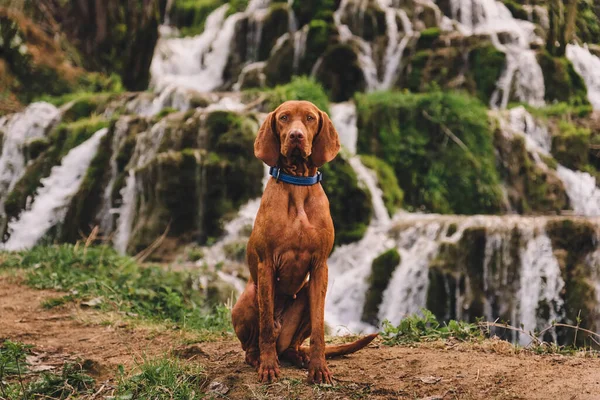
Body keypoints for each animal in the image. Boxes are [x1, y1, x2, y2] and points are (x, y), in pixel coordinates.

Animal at [230, 101, 376, 384]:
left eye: (309, 118)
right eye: (284, 118)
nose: (295, 136)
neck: (297, 184)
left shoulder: (320, 267)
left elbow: (319, 329)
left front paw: (319, 368)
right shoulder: (266, 264)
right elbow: (265, 326)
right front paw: (268, 368)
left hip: (304, 298)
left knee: (290, 345)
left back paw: (299, 356)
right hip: (249, 296)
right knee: (255, 342)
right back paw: (260, 358)